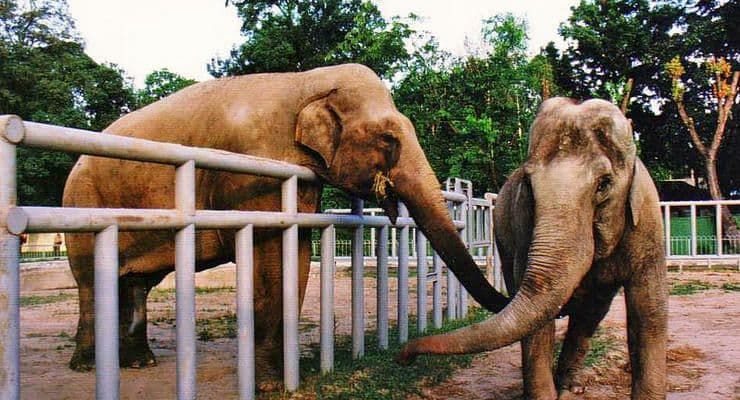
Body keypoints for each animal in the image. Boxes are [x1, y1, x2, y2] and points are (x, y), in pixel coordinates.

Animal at [398, 97, 672, 400]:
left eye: (604, 183)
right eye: (528, 184)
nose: (404, 357)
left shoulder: (647, 226)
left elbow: (649, 313)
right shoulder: (523, 227)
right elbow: (537, 320)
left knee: (591, 312)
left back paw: (571, 386)